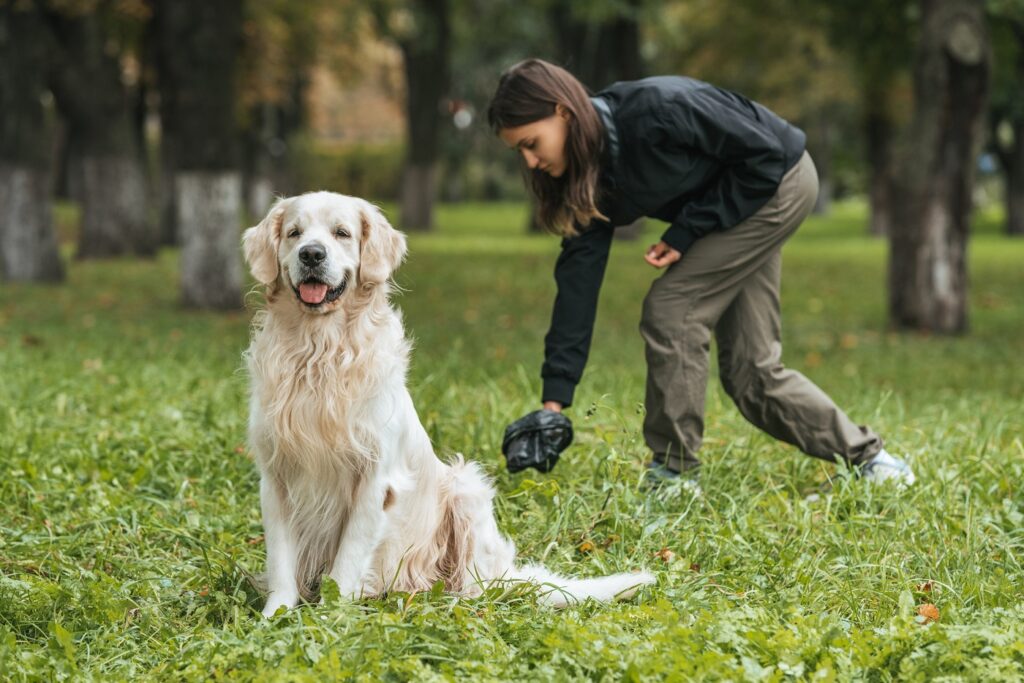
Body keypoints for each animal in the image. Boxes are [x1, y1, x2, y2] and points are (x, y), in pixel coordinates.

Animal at [243, 189, 651, 618]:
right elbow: (281, 561)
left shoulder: (375, 479)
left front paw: (328, 615)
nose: (311, 254)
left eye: (342, 233)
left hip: (466, 489)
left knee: (478, 586)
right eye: (294, 233)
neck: (318, 352)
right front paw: (275, 616)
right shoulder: (276, 476)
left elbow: (347, 562)